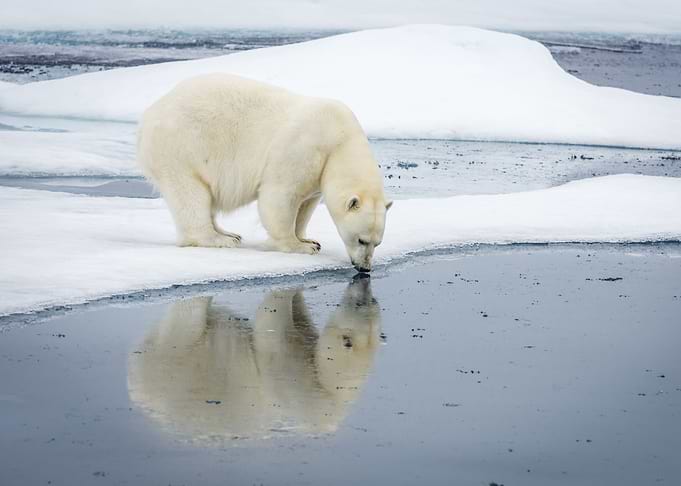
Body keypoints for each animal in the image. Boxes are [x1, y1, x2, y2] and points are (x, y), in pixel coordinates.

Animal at [137, 73, 392, 272]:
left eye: (378, 243)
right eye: (362, 240)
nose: (365, 268)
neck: (339, 140)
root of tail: (149, 115)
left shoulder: (318, 172)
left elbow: (306, 204)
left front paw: (307, 238)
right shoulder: (301, 149)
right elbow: (280, 197)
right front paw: (300, 246)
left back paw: (230, 233)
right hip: (182, 147)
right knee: (190, 194)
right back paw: (219, 239)